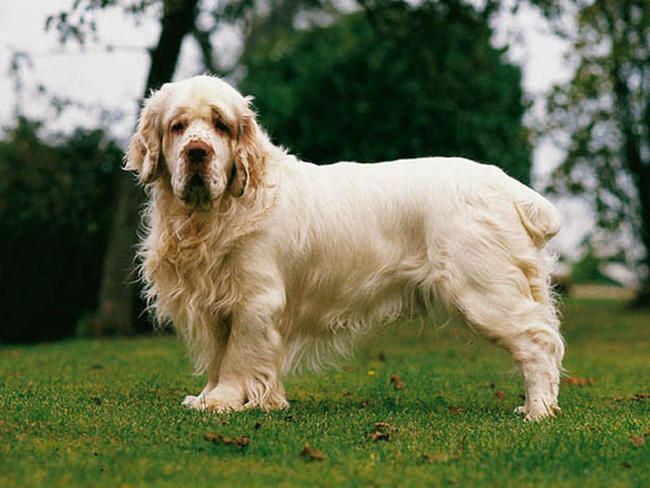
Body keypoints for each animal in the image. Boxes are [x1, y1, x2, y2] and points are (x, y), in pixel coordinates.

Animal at [125, 74, 560, 422]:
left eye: (221, 124)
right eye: (177, 126)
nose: (197, 153)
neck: (214, 215)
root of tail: (508, 187)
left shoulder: (253, 299)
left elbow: (238, 356)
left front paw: (225, 401)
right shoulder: (215, 301)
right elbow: (219, 356)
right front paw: (209, 397)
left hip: (483, 290)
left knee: (538, 343)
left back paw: (538, 411)